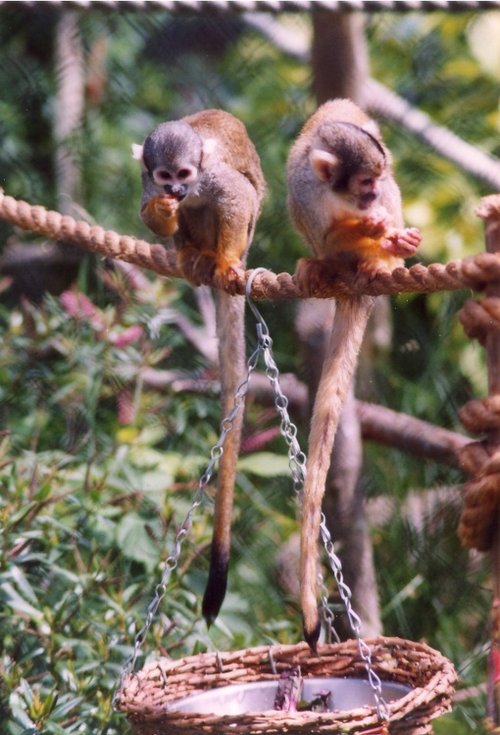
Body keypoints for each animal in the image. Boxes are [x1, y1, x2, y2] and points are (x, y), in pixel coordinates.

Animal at [133, 109, 265, 625]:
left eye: (186, 173)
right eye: (164, 176)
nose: (176, 190)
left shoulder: (212, 179)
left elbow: (237, 195)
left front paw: (224, 259)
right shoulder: (145, 181)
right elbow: (150, 214)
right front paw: (163, 213)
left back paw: (216, 259)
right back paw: (189, 253)